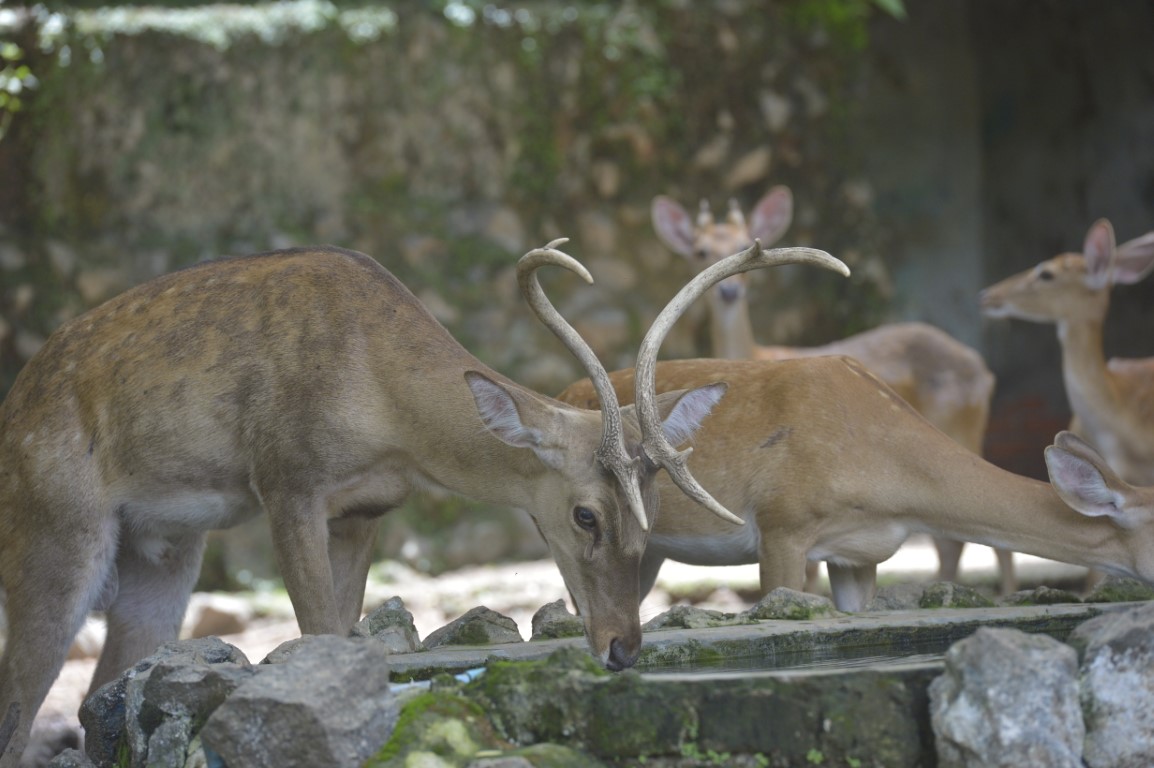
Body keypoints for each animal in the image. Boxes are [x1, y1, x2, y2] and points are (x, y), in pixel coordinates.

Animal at [0, 240, 849, 766]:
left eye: (653, 499)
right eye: (584, 514)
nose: (621, 648)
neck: (386, 409)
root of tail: (14, 405)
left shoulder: (366, 510)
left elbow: (344, 636)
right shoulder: (286, 478)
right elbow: (314, 632)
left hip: (165, 549)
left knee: (100, 691)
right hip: (53, 524)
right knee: (22, 705)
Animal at [651, 186, 1012, 592]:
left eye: (744, 243)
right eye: (700, 251)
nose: (728, 290)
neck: (756, 352)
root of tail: (984, 370)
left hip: (960, 431)